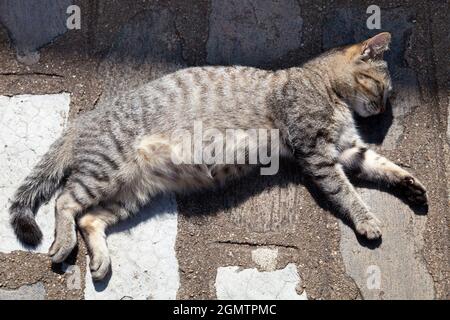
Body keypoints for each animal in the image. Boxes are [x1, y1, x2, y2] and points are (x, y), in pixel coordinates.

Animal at [9, 32, 426, 280]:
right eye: (381, 87)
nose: (382, 109)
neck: (325, 87)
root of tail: (84, 119)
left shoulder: (347, 149)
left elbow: (383, 165)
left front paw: (412, 186)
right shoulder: (317, 153)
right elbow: (347, 193)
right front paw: (366, 221)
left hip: (131, 193)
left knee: (90, 218)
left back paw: (100, 260)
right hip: (105, 172)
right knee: (65, 201)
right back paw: (64, 245)